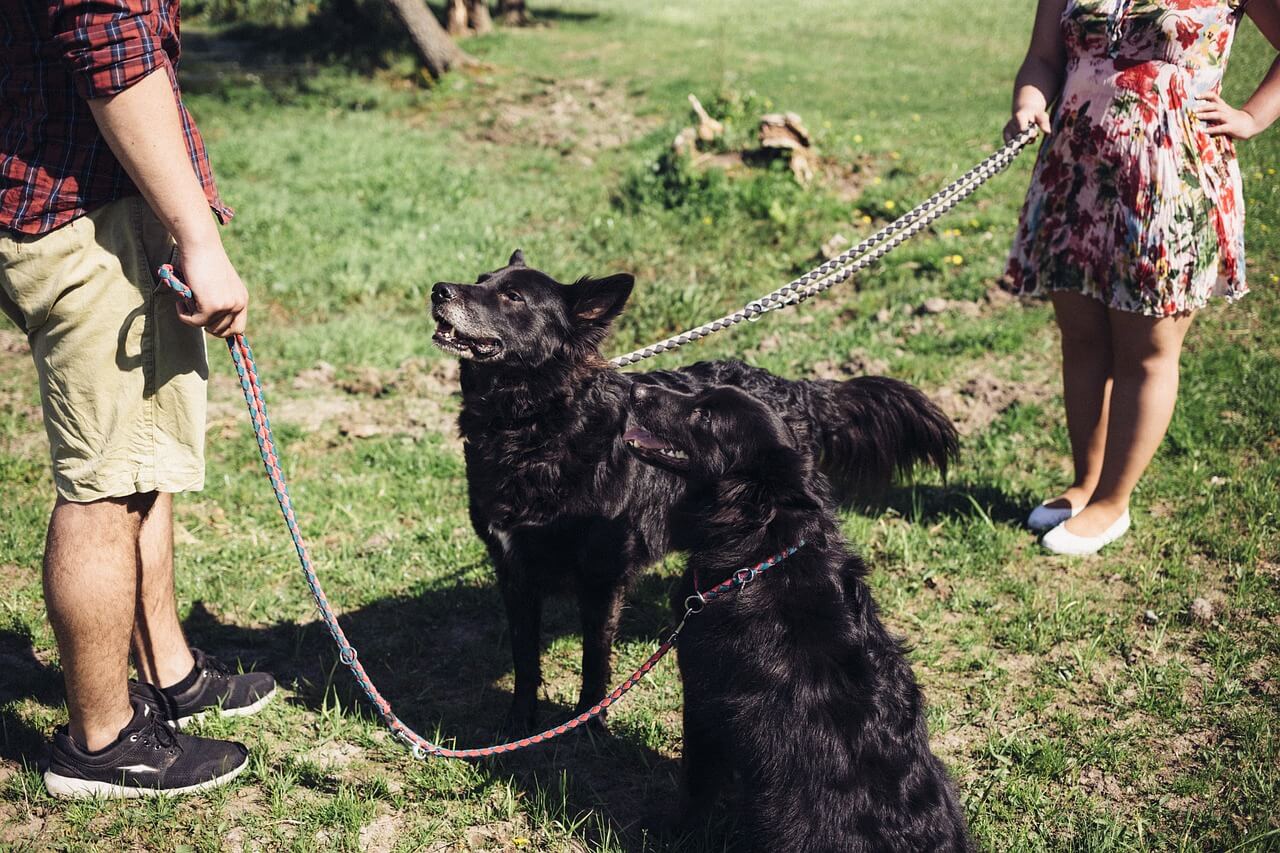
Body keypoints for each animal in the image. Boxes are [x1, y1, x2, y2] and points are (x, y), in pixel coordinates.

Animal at [435, 249, 957, 727]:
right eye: (481, 278)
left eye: (512, 296)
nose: (439, 290)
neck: (532, 424)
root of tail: (795, 389)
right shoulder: (513, 569)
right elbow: (525, 657)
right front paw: (519, 723)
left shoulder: (601, 578)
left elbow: (594, 659)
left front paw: (587, 724)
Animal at [622, 379, 967, 850]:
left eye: (705, 416)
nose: (635, 389)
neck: (761, 551)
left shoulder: (700, 694)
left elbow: (695, 781)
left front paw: (670, 830)